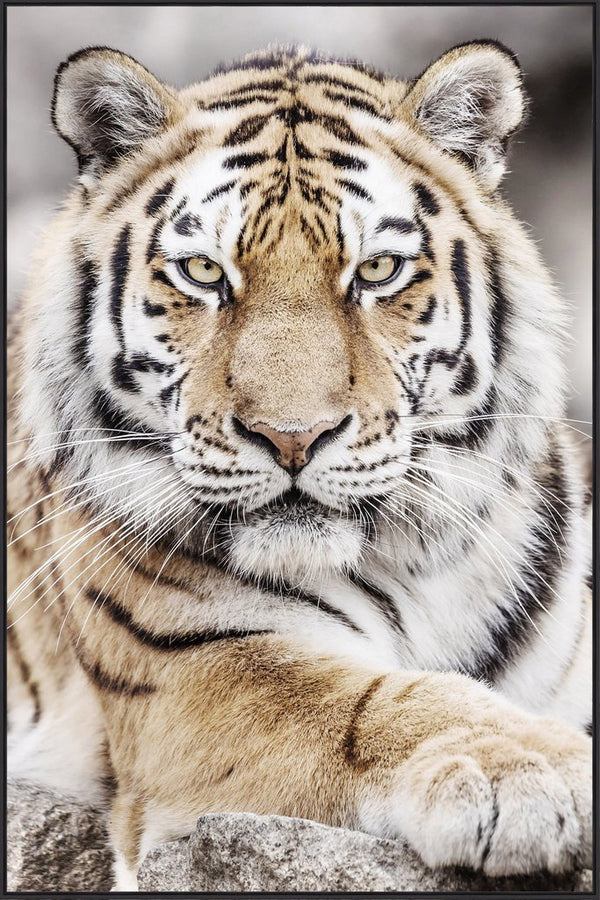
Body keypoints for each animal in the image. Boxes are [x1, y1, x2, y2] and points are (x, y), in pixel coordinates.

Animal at [7, 41, 593, 892]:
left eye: (377, 271)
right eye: (204, 273)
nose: (291, 438)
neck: (416, 562)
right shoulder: (196, 673)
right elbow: (375, 704)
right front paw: (529, 771)